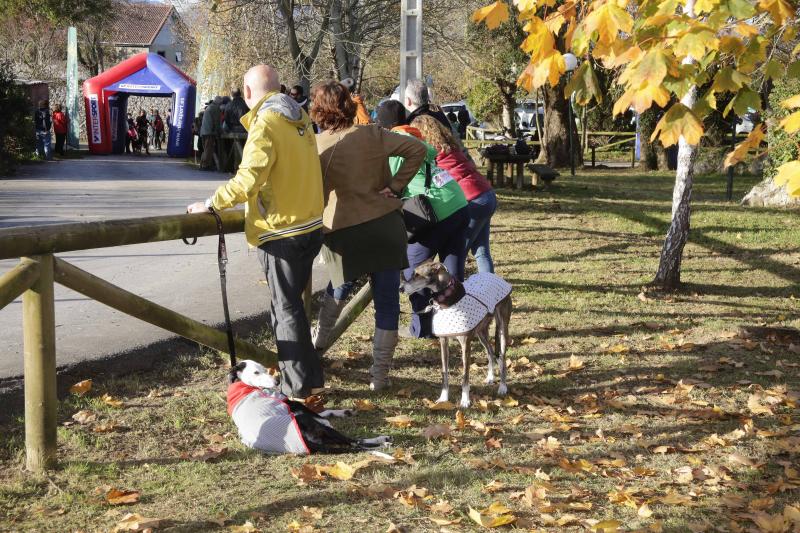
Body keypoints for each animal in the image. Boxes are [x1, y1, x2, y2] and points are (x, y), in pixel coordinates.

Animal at [227, 358, 392, 454]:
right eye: (256, 372)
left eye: (264, 369)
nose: (277, 382)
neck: (243, 384)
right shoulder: (295, 405)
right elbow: (321, 414)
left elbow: (324, 411)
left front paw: (343, 412)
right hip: (326, 431)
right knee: (355, 442)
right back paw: (382, 441)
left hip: (325, 438)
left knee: (354, 444)